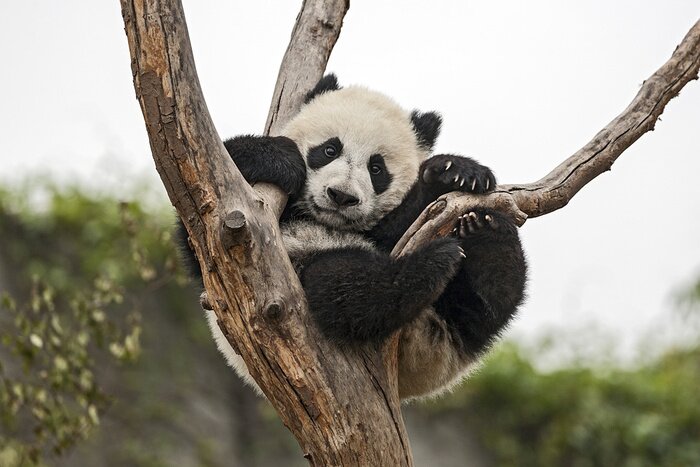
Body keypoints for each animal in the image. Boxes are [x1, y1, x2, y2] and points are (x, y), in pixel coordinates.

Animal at [178, 74, 527, 401]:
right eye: (329, 149)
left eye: (377, 168)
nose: (341, 196)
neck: (325, 220)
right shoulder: (240, 229)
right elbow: (203, 236)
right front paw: (277, 158)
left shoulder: (386, 228)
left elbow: (399, 225)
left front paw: (456, 173)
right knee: (341, 287)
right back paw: (430, 264)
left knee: (486, 307)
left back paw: (488, 235)